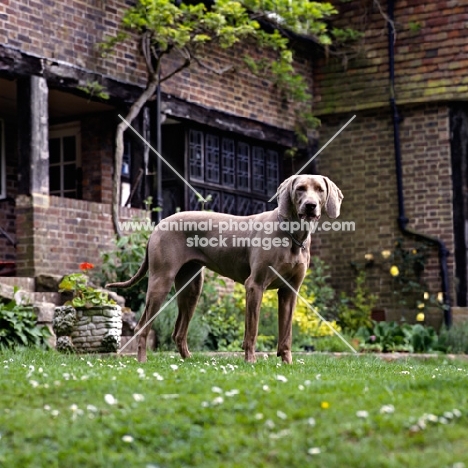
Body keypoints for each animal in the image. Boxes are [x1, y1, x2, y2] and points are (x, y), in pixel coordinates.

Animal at [106, 175, 342, 362]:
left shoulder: (289, 292)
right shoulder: (255, 286)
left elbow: (286, 334)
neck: (292, 236)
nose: (310, 205)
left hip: (192, 288)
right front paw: (250, 362)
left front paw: (287, 364)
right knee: (142, 326)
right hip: (160, 282)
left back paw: (189, 361)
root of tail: (158, 224)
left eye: (319, 190)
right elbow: (252, 331)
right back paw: (142, 361)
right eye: (300, 188)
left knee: (178, 332)